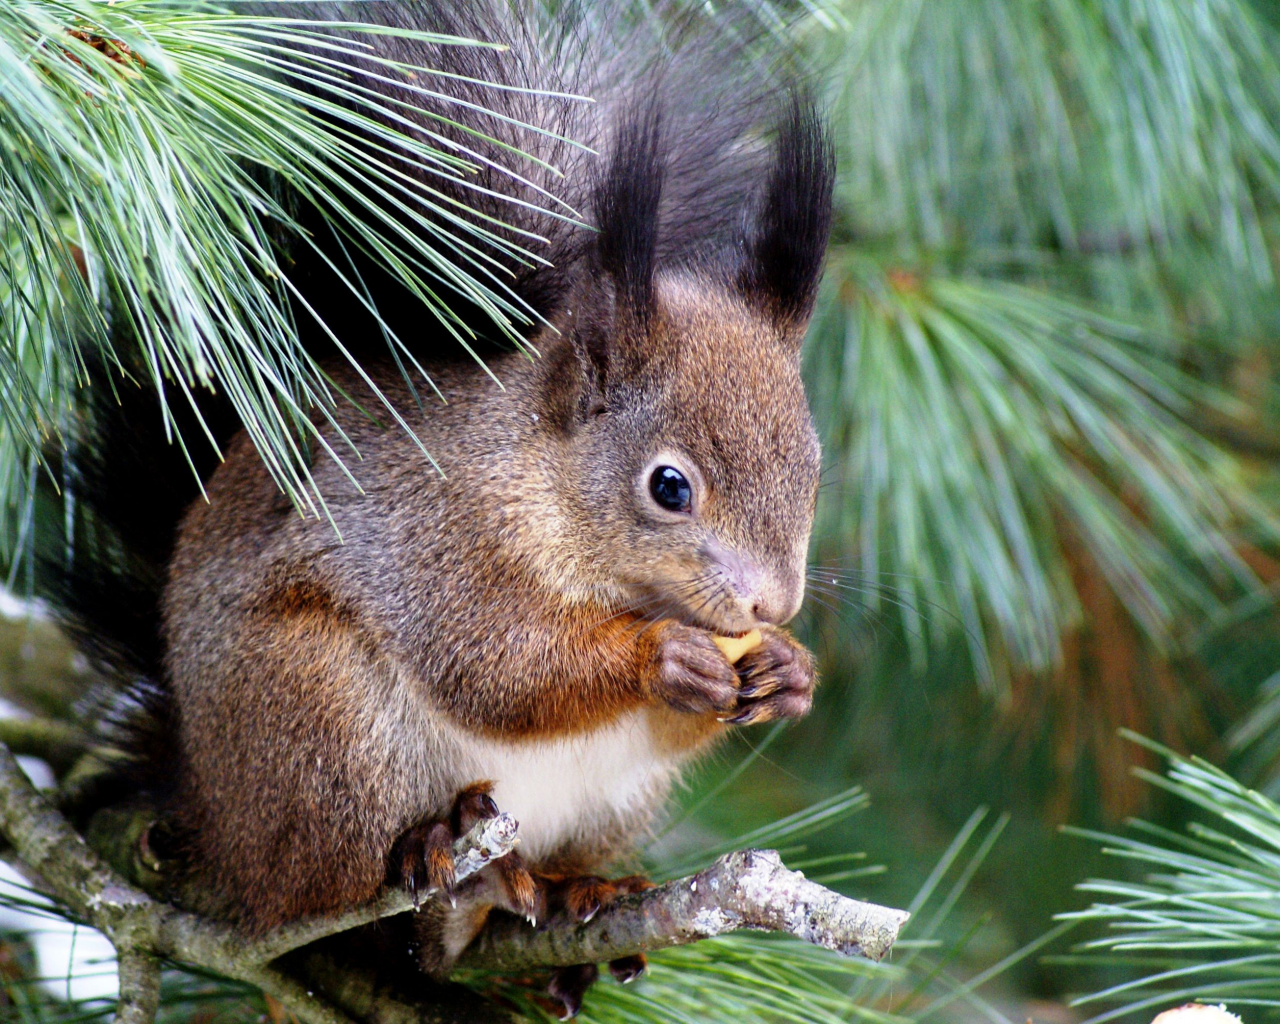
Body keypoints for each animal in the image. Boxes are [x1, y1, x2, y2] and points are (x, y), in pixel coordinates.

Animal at [40, 0, 834, 1013]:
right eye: (669, 486)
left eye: (814, 468)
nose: (775, 602)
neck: (540, 482)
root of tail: (205, 806)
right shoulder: (439, 539)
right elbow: (496, 667)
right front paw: (663, 656)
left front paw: (787, 671)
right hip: (319, 716)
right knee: (326, 890)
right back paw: (439, 869)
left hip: (613, 801)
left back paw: (575, 896)